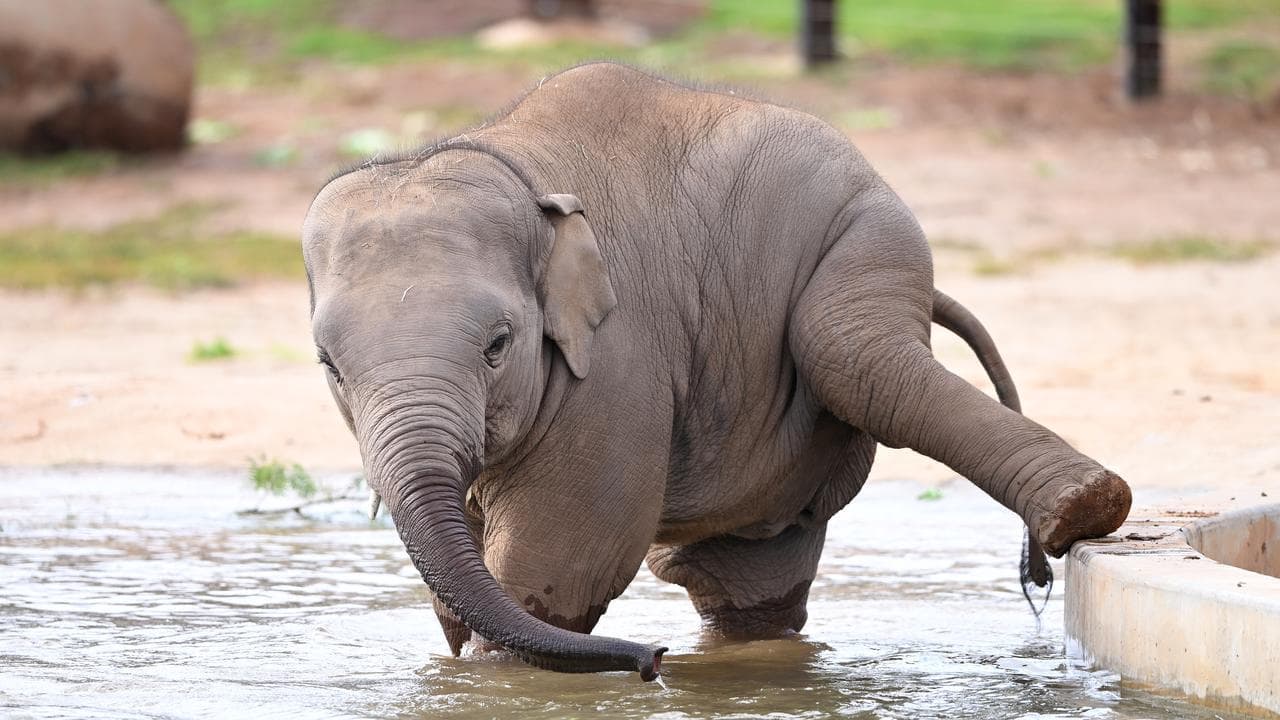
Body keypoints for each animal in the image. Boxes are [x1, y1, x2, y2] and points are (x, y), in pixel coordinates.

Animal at [302, 62, 1131, 682]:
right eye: (328, 365)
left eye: (498, 346)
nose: (652, 660)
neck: (502, 161)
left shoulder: (620, 359)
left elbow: (562, 560)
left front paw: (493, 677)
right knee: (744, 576)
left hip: (867, 239)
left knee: (856, 358)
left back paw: (1085, 511)